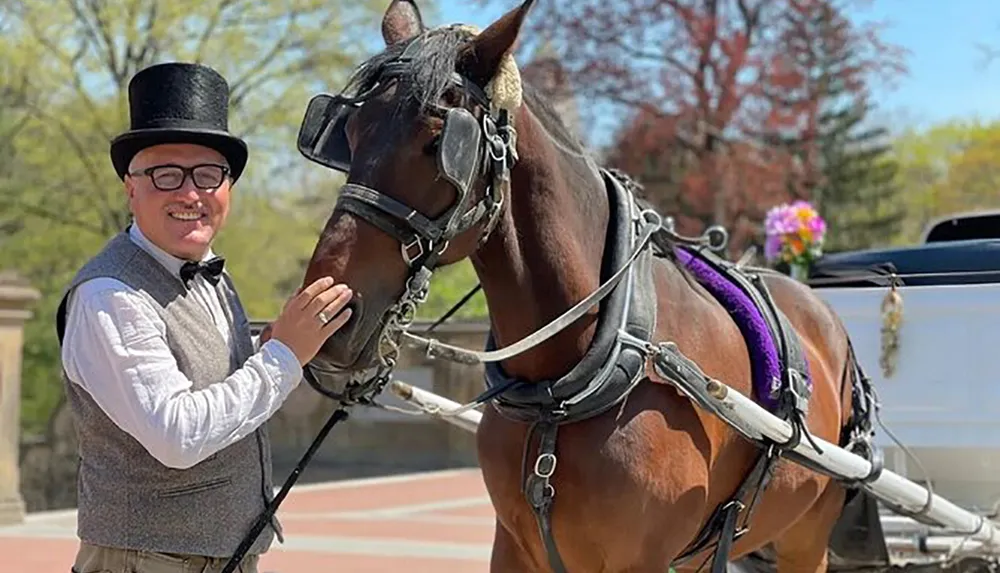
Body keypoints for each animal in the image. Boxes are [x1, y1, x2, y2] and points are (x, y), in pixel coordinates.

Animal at [292, 1, 880, 572]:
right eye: (347, 133)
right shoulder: (514, 546)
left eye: (440, 143)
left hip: (806, 539)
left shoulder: (641, 560)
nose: (332, 316)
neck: (560, 387)